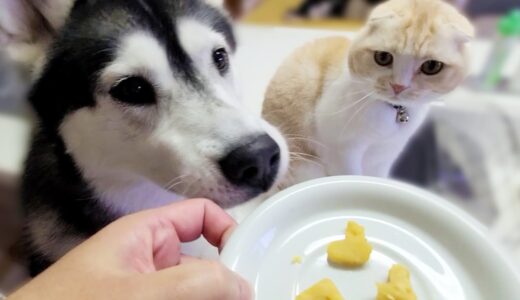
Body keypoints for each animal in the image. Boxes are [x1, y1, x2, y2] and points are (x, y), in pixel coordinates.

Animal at [264, 0, 476, 188]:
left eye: (431, 66)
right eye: (382, 57)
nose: (399, 86)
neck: (392, 113)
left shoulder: (386, 153)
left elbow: (377, 177)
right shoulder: (343, 151)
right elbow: (352, 175)